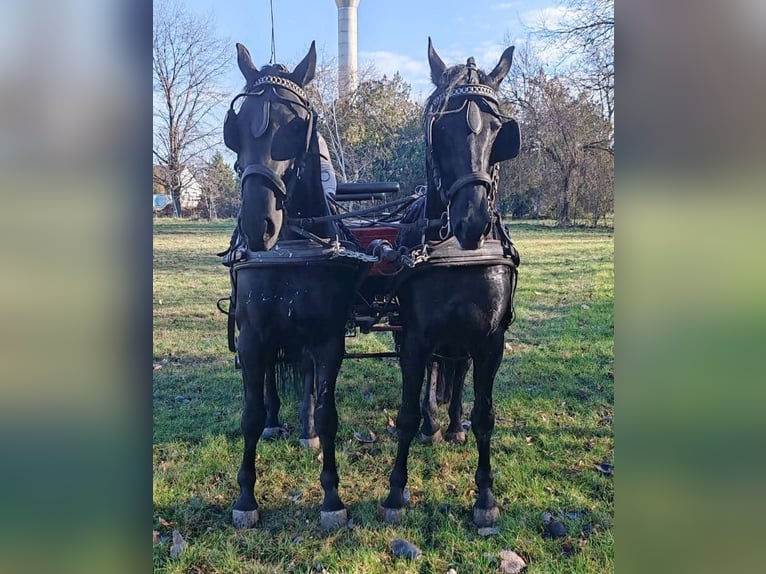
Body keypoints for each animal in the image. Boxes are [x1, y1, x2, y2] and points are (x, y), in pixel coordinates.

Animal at [221, 41, 371, 530]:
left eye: (295, 128)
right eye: (237, 129)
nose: (258, 223)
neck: (290, 248)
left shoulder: (326, 339)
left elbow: (327, 413)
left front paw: (331, 497)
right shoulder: (252, 337)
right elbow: (249, 414)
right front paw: (246, 497)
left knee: (304, 378)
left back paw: (304, 430)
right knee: (270, 378)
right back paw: (275, 419)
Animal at [380, 38, 521, 527]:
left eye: (499, 130)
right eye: (440, 129)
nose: (472, 219)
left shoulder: (491, 340)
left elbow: (485, 415)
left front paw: (485, 496)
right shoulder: (415, 337)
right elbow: (405, 411)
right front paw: (396, 491)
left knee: (457, 373)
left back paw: (453, 423)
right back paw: (434, 423)